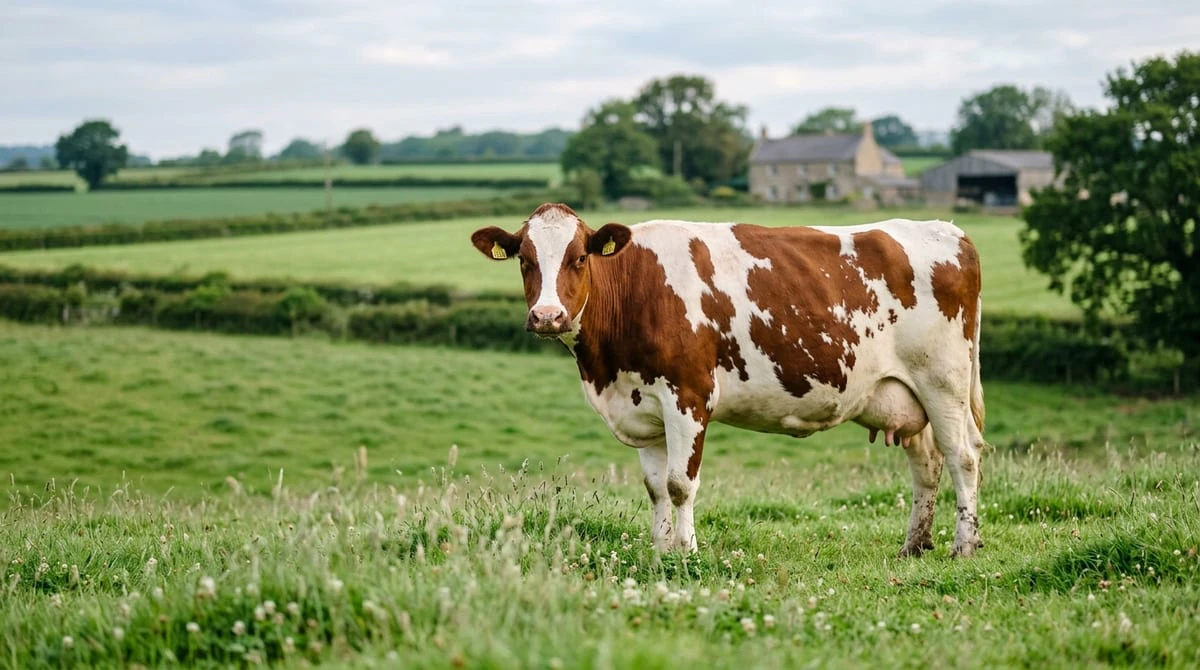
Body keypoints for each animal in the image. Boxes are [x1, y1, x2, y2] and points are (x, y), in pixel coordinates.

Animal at [470, 203, 986, 558]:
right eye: (524, 260)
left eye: (578, 258)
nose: (547, 316)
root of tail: (949, 230)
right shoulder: (644, 407)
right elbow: (656, 488)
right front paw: (660, 550)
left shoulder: (687, 396)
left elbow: (680, 483)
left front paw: (687, 553)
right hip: (905, 393)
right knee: (926, 463)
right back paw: (914, 545)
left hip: (944, 381)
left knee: (963, 456)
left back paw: (963, 546)